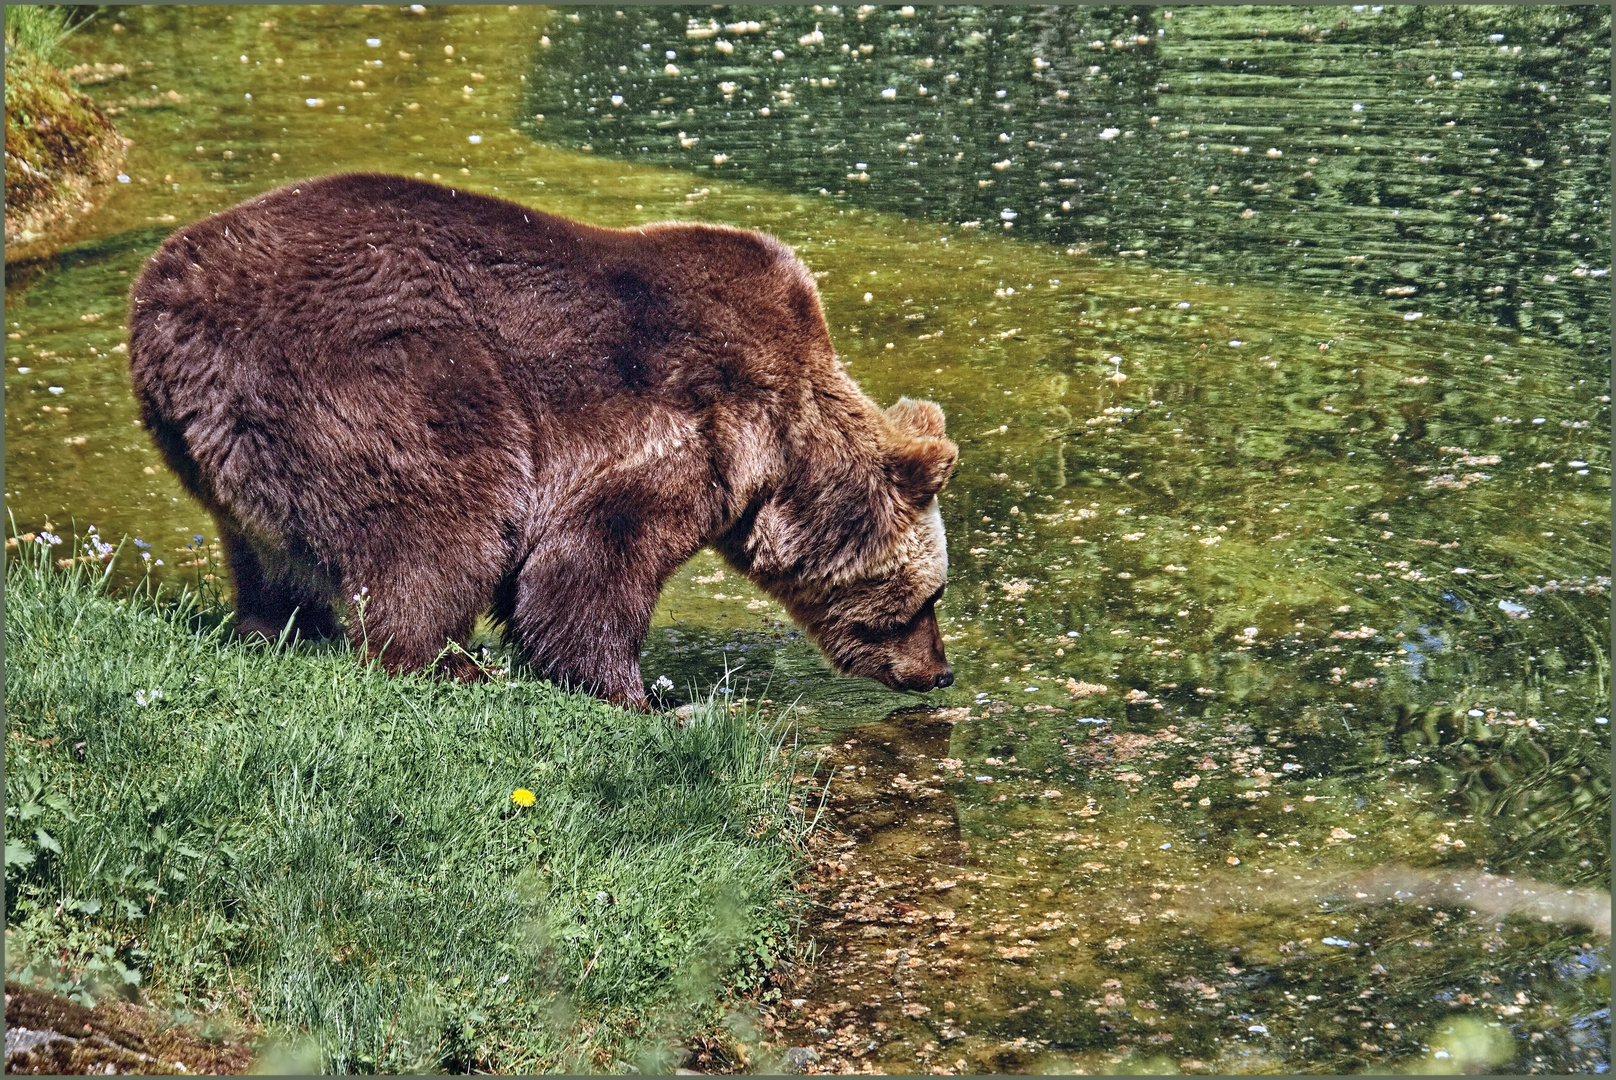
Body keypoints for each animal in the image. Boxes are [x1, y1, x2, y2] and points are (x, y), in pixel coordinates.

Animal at [132, 175, 956, 708]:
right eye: (932, 594)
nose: (941, 671)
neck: (785, 462)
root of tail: (162, 294)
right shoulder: (689, 425)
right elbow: (590, 562)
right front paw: (644, 700)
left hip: (243, 437)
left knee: (268, 555)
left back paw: (281, 629)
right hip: (382, 368)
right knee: (441, 523)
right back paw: (447, 665)